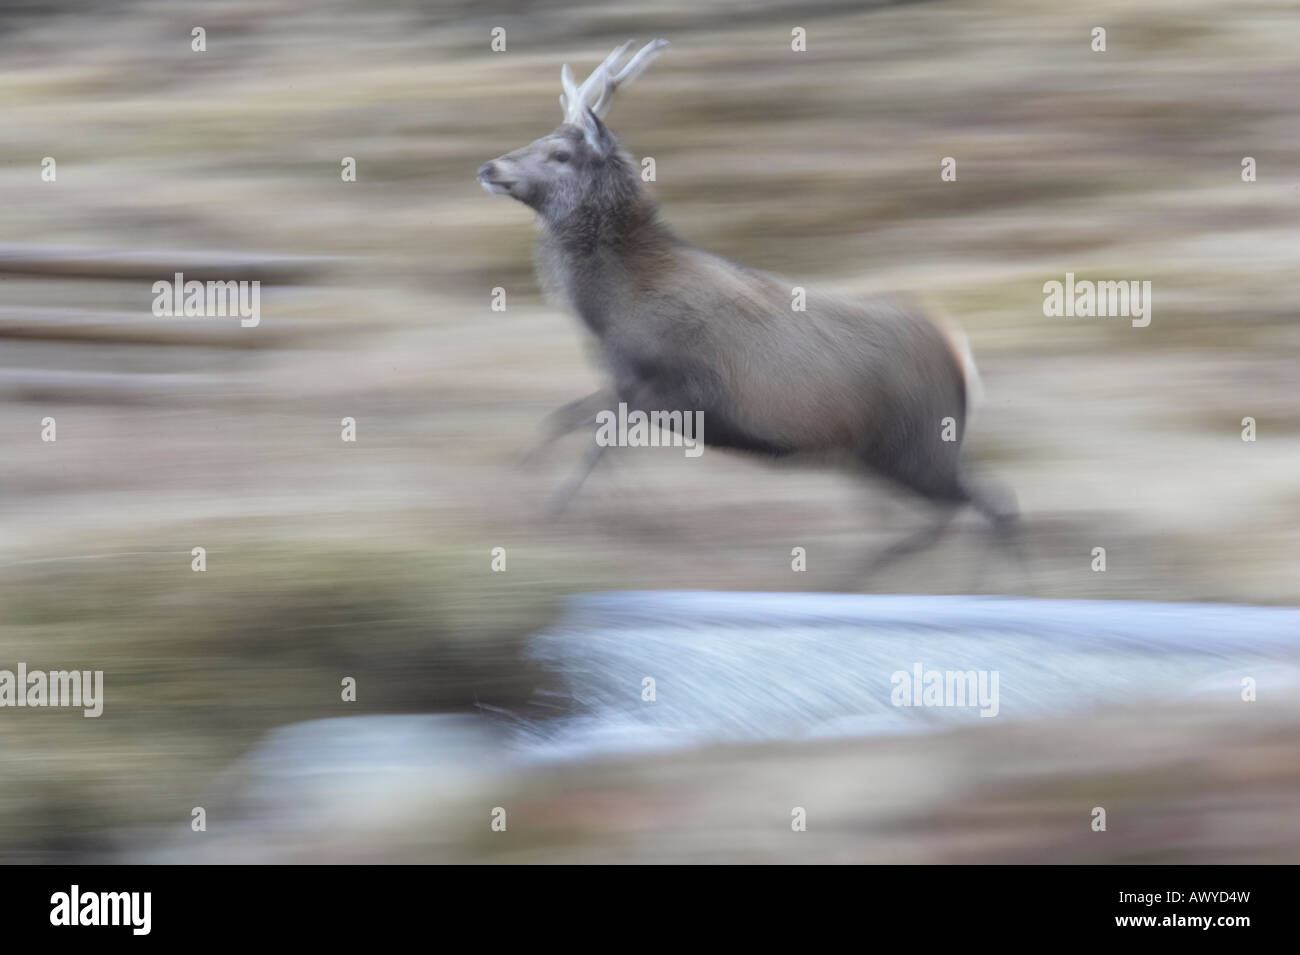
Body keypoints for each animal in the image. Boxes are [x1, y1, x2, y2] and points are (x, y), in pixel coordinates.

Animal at [480, 39, 1024, 574]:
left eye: (560, 153)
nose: (490, 167)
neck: (612, 312)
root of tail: (961, 357)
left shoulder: (682, 388)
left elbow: (599, 440)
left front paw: (565, 507)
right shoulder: (627, 386)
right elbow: (567, 420)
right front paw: (532, 480)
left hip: (915, 443)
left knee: (984, 506)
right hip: (896, 450)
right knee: (983, 502)